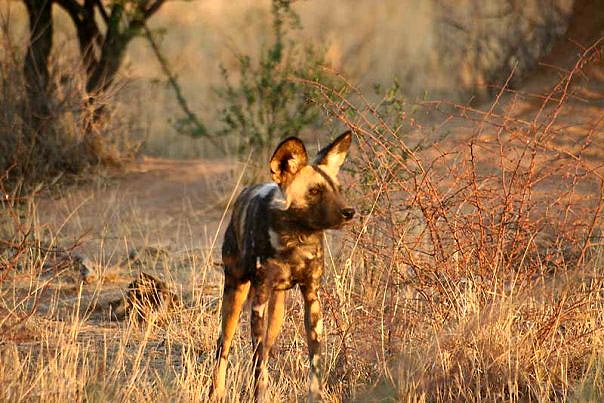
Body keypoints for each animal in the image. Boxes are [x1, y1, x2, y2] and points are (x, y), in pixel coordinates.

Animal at [211, 132, 354, 400]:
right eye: (315, 191)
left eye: (339, 190)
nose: (349, 211)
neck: (296, 240)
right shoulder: (258, 301)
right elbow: (256, 363)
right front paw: (260, 397)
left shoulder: (311, 297)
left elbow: (314, 359)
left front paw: (315, 396)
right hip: (235, 296)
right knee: (224, 346)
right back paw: (217, 392)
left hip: (276, 316)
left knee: (267, 350)